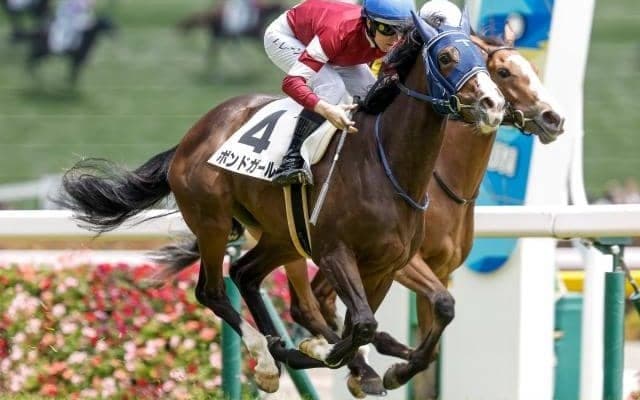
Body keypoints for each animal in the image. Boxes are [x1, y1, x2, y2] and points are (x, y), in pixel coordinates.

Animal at [57, 11, 505, 393]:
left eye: (481, 57)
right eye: (446, 57)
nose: (494, 104)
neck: (386, 164)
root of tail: (192, 135)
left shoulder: (387, 264)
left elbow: (416, 315)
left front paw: (392, 367)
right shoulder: (335, 252)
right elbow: (360, 323)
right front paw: (332, 354)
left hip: (282, 236)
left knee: (245, 274)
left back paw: (285, 349)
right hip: (213, 220)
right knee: (212, 291)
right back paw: (269, 357)